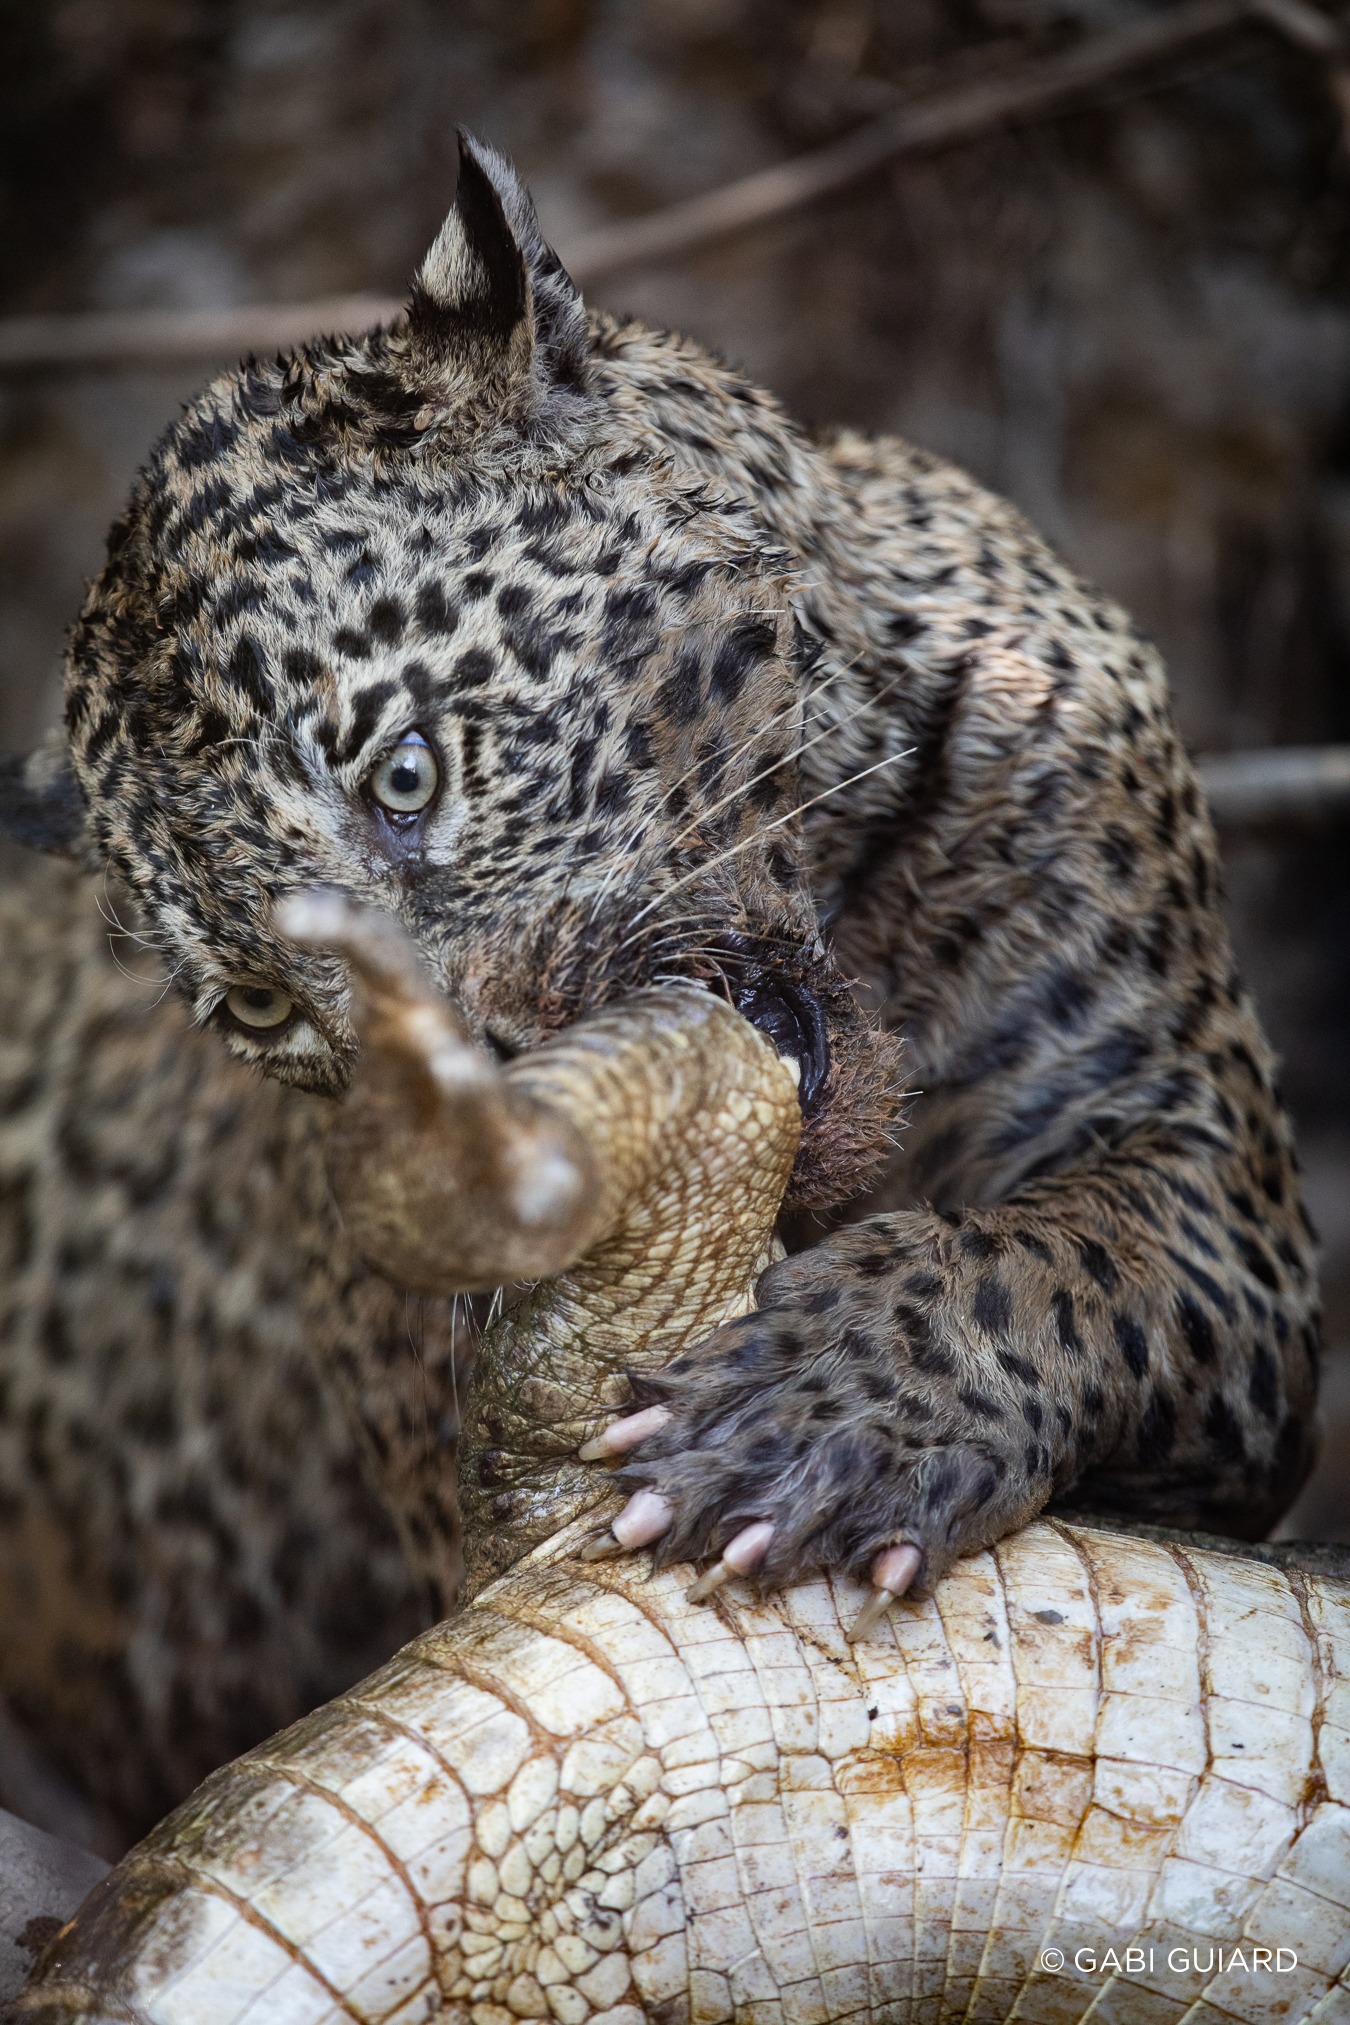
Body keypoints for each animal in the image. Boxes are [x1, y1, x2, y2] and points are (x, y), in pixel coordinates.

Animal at [0, 134, 1321, 1845]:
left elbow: (1067, 1255)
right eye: (259, 1010)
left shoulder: (1193, 1151)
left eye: (407, 773)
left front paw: (824, 1409)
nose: (472, 1125)